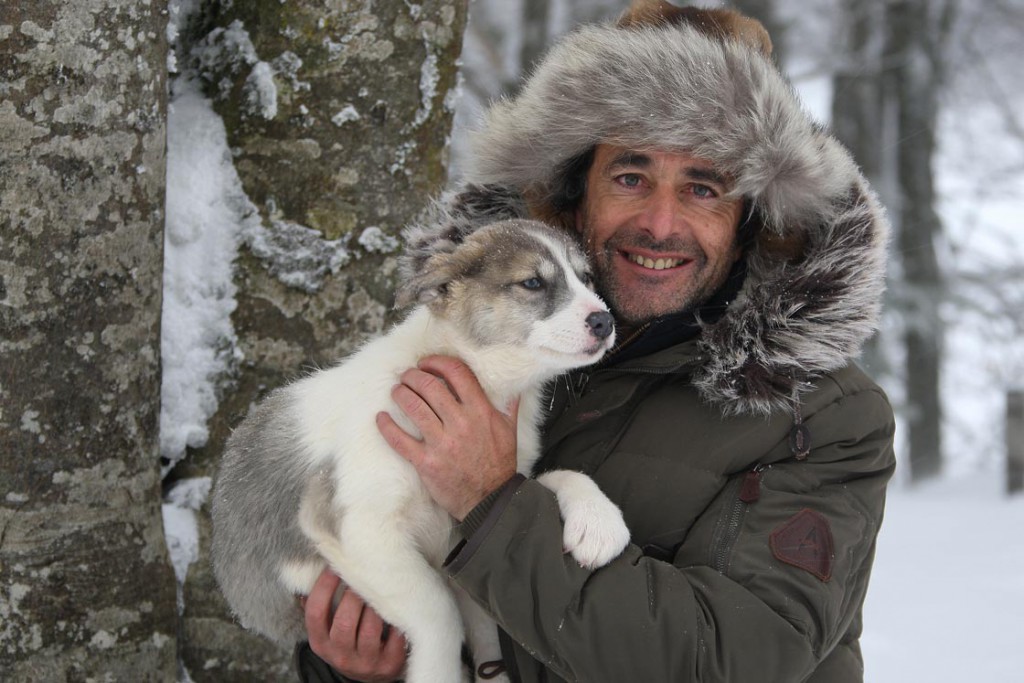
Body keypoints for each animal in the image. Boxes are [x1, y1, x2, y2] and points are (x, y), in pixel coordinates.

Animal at [211, 214, 631, 682]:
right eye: (532, 282)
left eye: (586, 278)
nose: (604, 321)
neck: (490, 385)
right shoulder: (358, 529)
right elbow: (439, 614)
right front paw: (438, 671)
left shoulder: (468, 519)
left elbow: (548, 479)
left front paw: (597, 520)